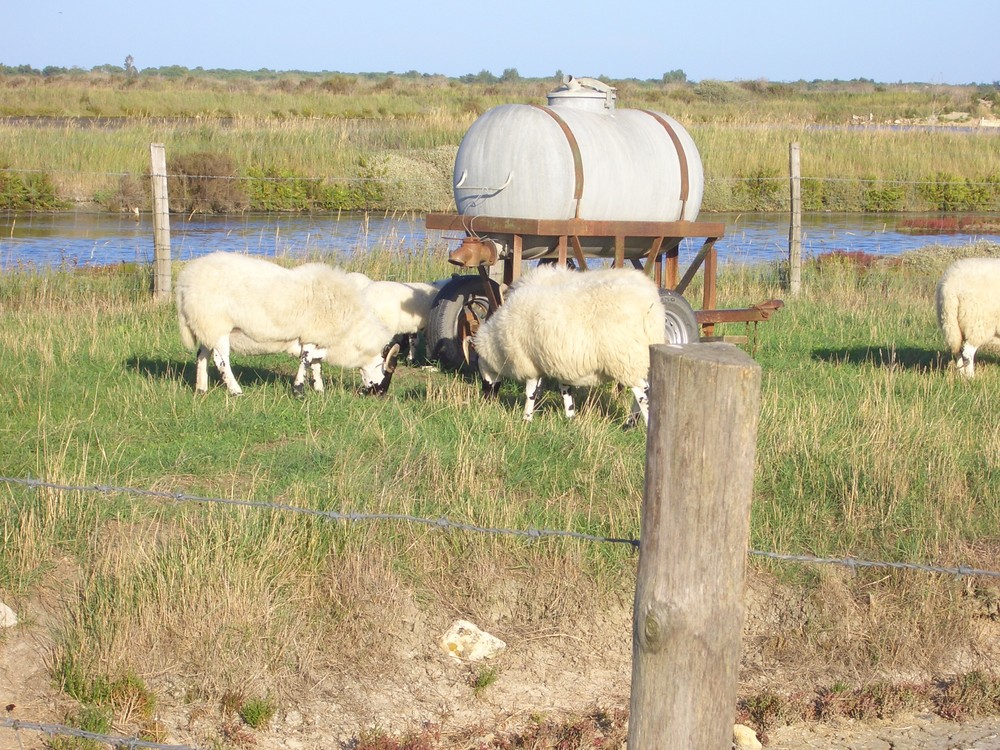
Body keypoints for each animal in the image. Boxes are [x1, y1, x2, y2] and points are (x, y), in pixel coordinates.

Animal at [176, 253, 398, 396]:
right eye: (387, 370)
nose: (380, 394)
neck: (351, 333)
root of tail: (185, 279)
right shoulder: (311, 334)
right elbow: (306, 360)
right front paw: (299, 390)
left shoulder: (319, 337)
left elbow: (316, 364)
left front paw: (319, 389)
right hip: (217, 324)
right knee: (220, 359)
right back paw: (235, 391)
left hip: (205, 325)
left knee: (202, 354)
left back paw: (201, 388)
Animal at [472, 268, 668, 426]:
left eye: (479, 370)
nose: (486, 399)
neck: (497, 342)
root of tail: (650, 304)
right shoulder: (559, 362)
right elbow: (565, 391)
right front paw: (570, 418)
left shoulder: (529, 362)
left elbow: (530, 393)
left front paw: (526, 419)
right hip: (641, 356)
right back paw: (630, 424)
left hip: (625, 357)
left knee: (643, 393)